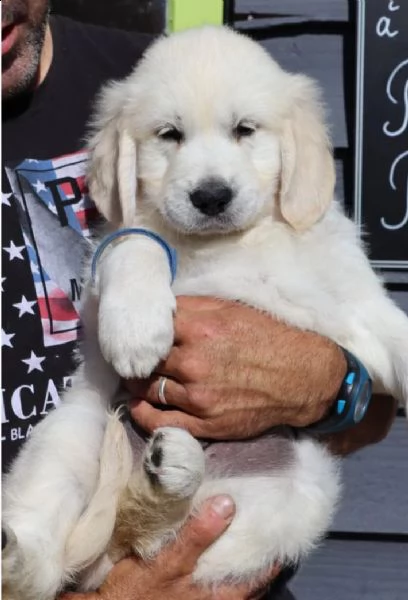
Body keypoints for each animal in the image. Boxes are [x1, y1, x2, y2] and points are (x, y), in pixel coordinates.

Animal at [3, 24, 408, 600]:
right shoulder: (110, 256)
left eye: (245, 130)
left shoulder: (353, 305)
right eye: (169, 135)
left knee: (158, 531)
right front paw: (136, 331)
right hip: (69, 436)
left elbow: (392, 332)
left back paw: (167, 476)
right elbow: (138, 242)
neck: (232, 244)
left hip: (289, 496)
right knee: (44, 562)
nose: (211, 196)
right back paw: (20, 547)